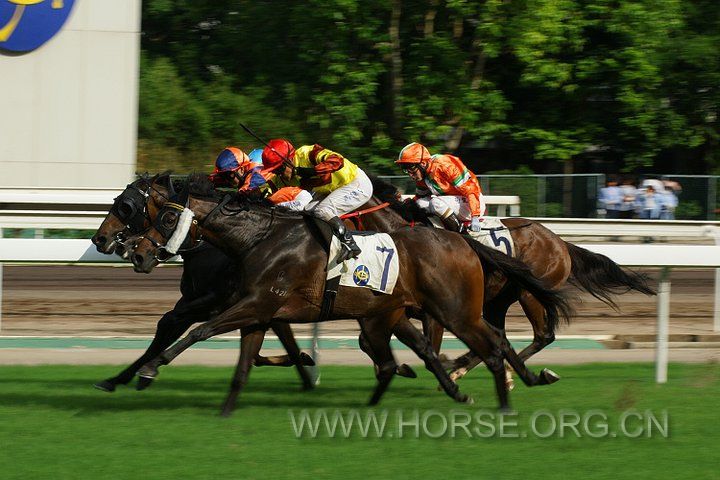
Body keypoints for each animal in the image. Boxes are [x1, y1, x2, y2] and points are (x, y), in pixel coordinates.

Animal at [88, 174, 314, 392]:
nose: (99, 238)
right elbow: (164, 328)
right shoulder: (195, 301)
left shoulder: (218, 302)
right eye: (117, 200)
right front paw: (117, 379)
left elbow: (170, 322)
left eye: (125, 206)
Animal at [126, 174, 572, 414]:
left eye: (165, 218)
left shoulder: (256, 303)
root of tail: (462, 242)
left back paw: (504, 396)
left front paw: (149, 370)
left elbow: (200, 331)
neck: (260, 237)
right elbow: (241, 358)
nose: (139, 253)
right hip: (422, 311)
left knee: (495, 345)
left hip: (457, 310)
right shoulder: (259, 309)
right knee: (489, 343)